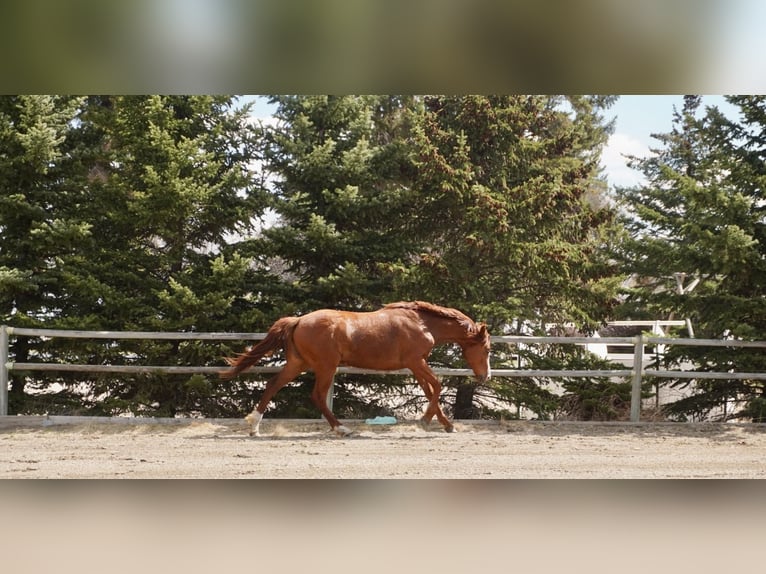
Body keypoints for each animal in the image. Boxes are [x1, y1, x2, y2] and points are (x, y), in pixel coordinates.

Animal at [220, 301, 491, 436]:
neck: (422, 323)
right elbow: (437, 385)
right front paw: (425, 420)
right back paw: (342, 428)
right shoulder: (416, 362)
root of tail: (298, 320)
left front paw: (446, 425)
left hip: (298, 364)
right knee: (317, 396)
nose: (485, 376)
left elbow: (429, 390)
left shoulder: (415, 365)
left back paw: (254, 426)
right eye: (487, 350)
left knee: (272, 385)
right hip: (326, 367)